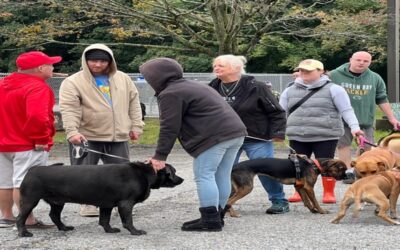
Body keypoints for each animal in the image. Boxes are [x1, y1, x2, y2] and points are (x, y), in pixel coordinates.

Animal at [16, 161, 184, 237]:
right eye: (174, 172)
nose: (182, 179)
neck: (144, 174)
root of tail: (32, 169)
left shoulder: (106, 205)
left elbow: (104, 220)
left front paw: (109, 230)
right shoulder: (126, 204)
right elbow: (128, 221)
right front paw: (135, 231)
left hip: (58, 202)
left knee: (54, 215)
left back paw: (64, 228)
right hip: (30, 201)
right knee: (20, 218)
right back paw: (24, 233)